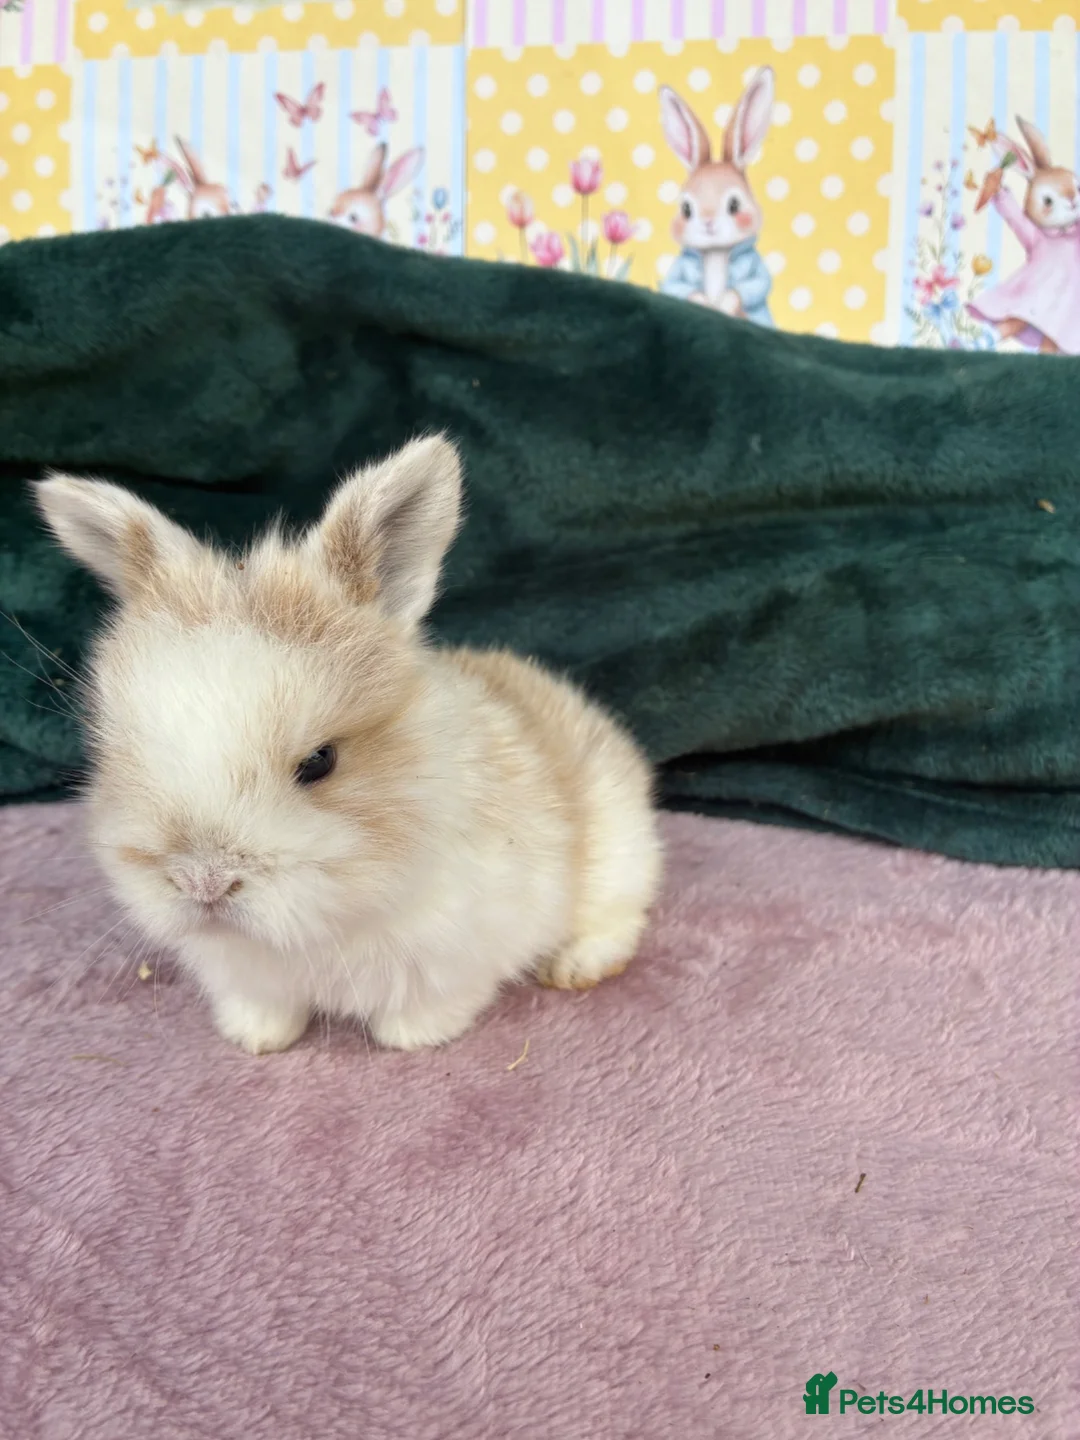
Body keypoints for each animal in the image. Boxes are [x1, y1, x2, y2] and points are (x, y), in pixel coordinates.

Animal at [34, 437, 662, 1057]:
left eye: (320, 762)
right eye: (120, 755)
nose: (202, 882)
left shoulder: (462, 952)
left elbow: (431, 1007)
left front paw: (412, 1038)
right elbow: (265, 1007)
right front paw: (255, 1038)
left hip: (620, 855)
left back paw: (576, 966)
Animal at [658, 67, 775, 326]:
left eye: (734, 204)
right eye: (686, 209)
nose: (708, 223)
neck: (716, 253)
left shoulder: (753, 269)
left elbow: (756, 284)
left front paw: (723, 305)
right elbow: (677, 286)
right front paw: (705, 303)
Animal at [967, 117, 1080, 355]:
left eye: (1077, 186)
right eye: (1047, 201)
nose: (1073, 201)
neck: (1061, 234)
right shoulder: (1033, 236)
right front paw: (997, 187)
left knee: (1047, 340)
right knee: (1011, 323)